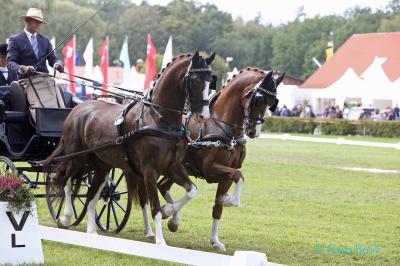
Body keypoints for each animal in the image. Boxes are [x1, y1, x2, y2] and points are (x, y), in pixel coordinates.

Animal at [46, 51, 214, 245]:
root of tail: (77, 108)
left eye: (210, 80)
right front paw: (160, 239)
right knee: (65, 180)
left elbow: (191, 191)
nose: (203, 116)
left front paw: (170, 214)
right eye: (194, 80)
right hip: (77, 157)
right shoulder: (150, 170)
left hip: (101, 165)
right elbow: (155, 207)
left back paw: (91, 231)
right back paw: (66, 217)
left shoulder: (173, 168)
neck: (159, 119)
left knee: (92, 194)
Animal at [158, 67, 282, 250]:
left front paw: (215, 240)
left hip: (176, 169)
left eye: (272, 102)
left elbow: (219, 206)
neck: (223, 129)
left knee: (162, 186)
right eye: (259, 99)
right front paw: (228, 199)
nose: (254, 132)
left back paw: (173, 219)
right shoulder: (211, 170)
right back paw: (167, 215)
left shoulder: (226, 176)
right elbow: (239, 176)